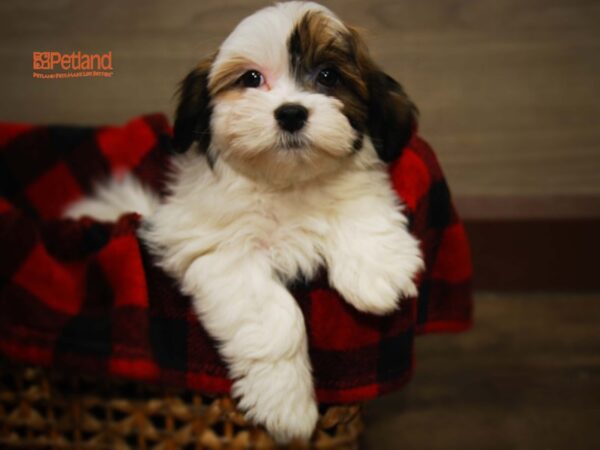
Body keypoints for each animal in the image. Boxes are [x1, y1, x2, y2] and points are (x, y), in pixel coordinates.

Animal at [64, 0, 422, 442]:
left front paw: (377, 271)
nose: (291, 113)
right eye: (251, 78)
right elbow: (277, 316)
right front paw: (286, 403)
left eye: (328, 76)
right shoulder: (216, 249)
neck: (284, 183)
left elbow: (359, 201)